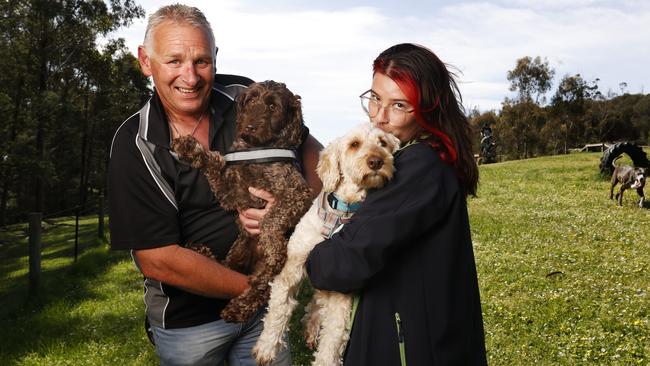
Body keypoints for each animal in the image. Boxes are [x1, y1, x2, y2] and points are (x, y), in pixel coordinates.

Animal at [170, 81, 312, 324]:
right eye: (251, 100)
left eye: (273, 106)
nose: (250, 127)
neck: (258, 151)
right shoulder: (231, 193)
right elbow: (214, 163)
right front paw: (190, 148)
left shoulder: (298, 193)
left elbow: (270, 221)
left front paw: (273, 245)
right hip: (238, 248)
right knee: (225, 267)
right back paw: (201, 251)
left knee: (262, 285)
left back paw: (239, 308)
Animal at [251, 123, 398, 366]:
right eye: (354, 144)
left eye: (383, 143)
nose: (377, 161)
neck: (340, 214)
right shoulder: (292, 265)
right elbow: (279, 308)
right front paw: (267, 346)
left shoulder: (341, 290)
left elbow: (334, 336)